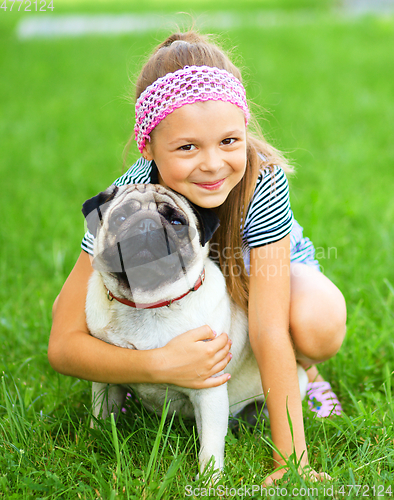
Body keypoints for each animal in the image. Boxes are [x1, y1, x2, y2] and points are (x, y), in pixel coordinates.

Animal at [81, 184, 308, 476]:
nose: (146, 224)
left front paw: (210, 480)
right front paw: (93, 445)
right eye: (120, 217)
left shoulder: (209, 390)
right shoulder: (106, 383)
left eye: (177, 222)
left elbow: (210, 446)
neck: (149, 303)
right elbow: (99, 418)